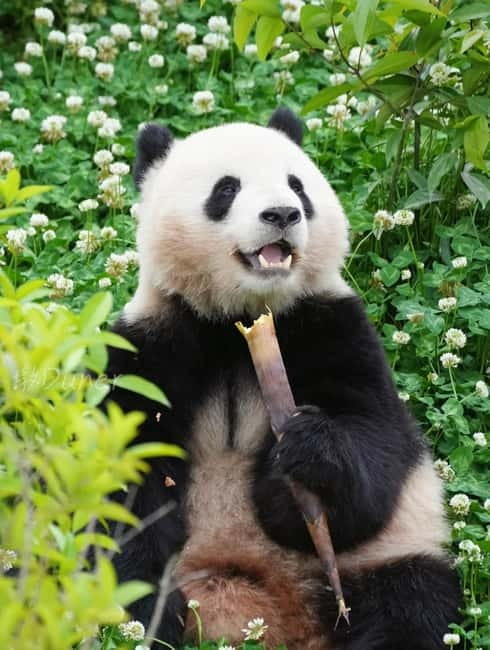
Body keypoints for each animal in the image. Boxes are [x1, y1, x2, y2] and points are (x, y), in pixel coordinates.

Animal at [106, 107, 461, 650]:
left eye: (298, 186)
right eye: (226, 188)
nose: (282, 214)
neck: (240, 323)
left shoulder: (331, 327)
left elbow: (376, 445)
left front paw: (306, 451)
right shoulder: (152, 344)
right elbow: (123, 485)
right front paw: (147, 612)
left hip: (381, 558)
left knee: (411, 600)